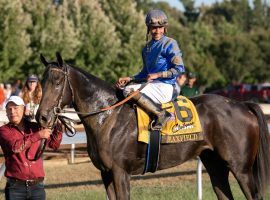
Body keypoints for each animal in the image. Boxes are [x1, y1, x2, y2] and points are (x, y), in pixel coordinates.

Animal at [36, 53, 270, 200]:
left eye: (57, 82)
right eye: (41, 82)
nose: (42, 117)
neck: (108, 116)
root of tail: (242, 104)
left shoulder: (120, 172)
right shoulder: (106, 174)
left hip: (241, 169)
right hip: (215, 164)